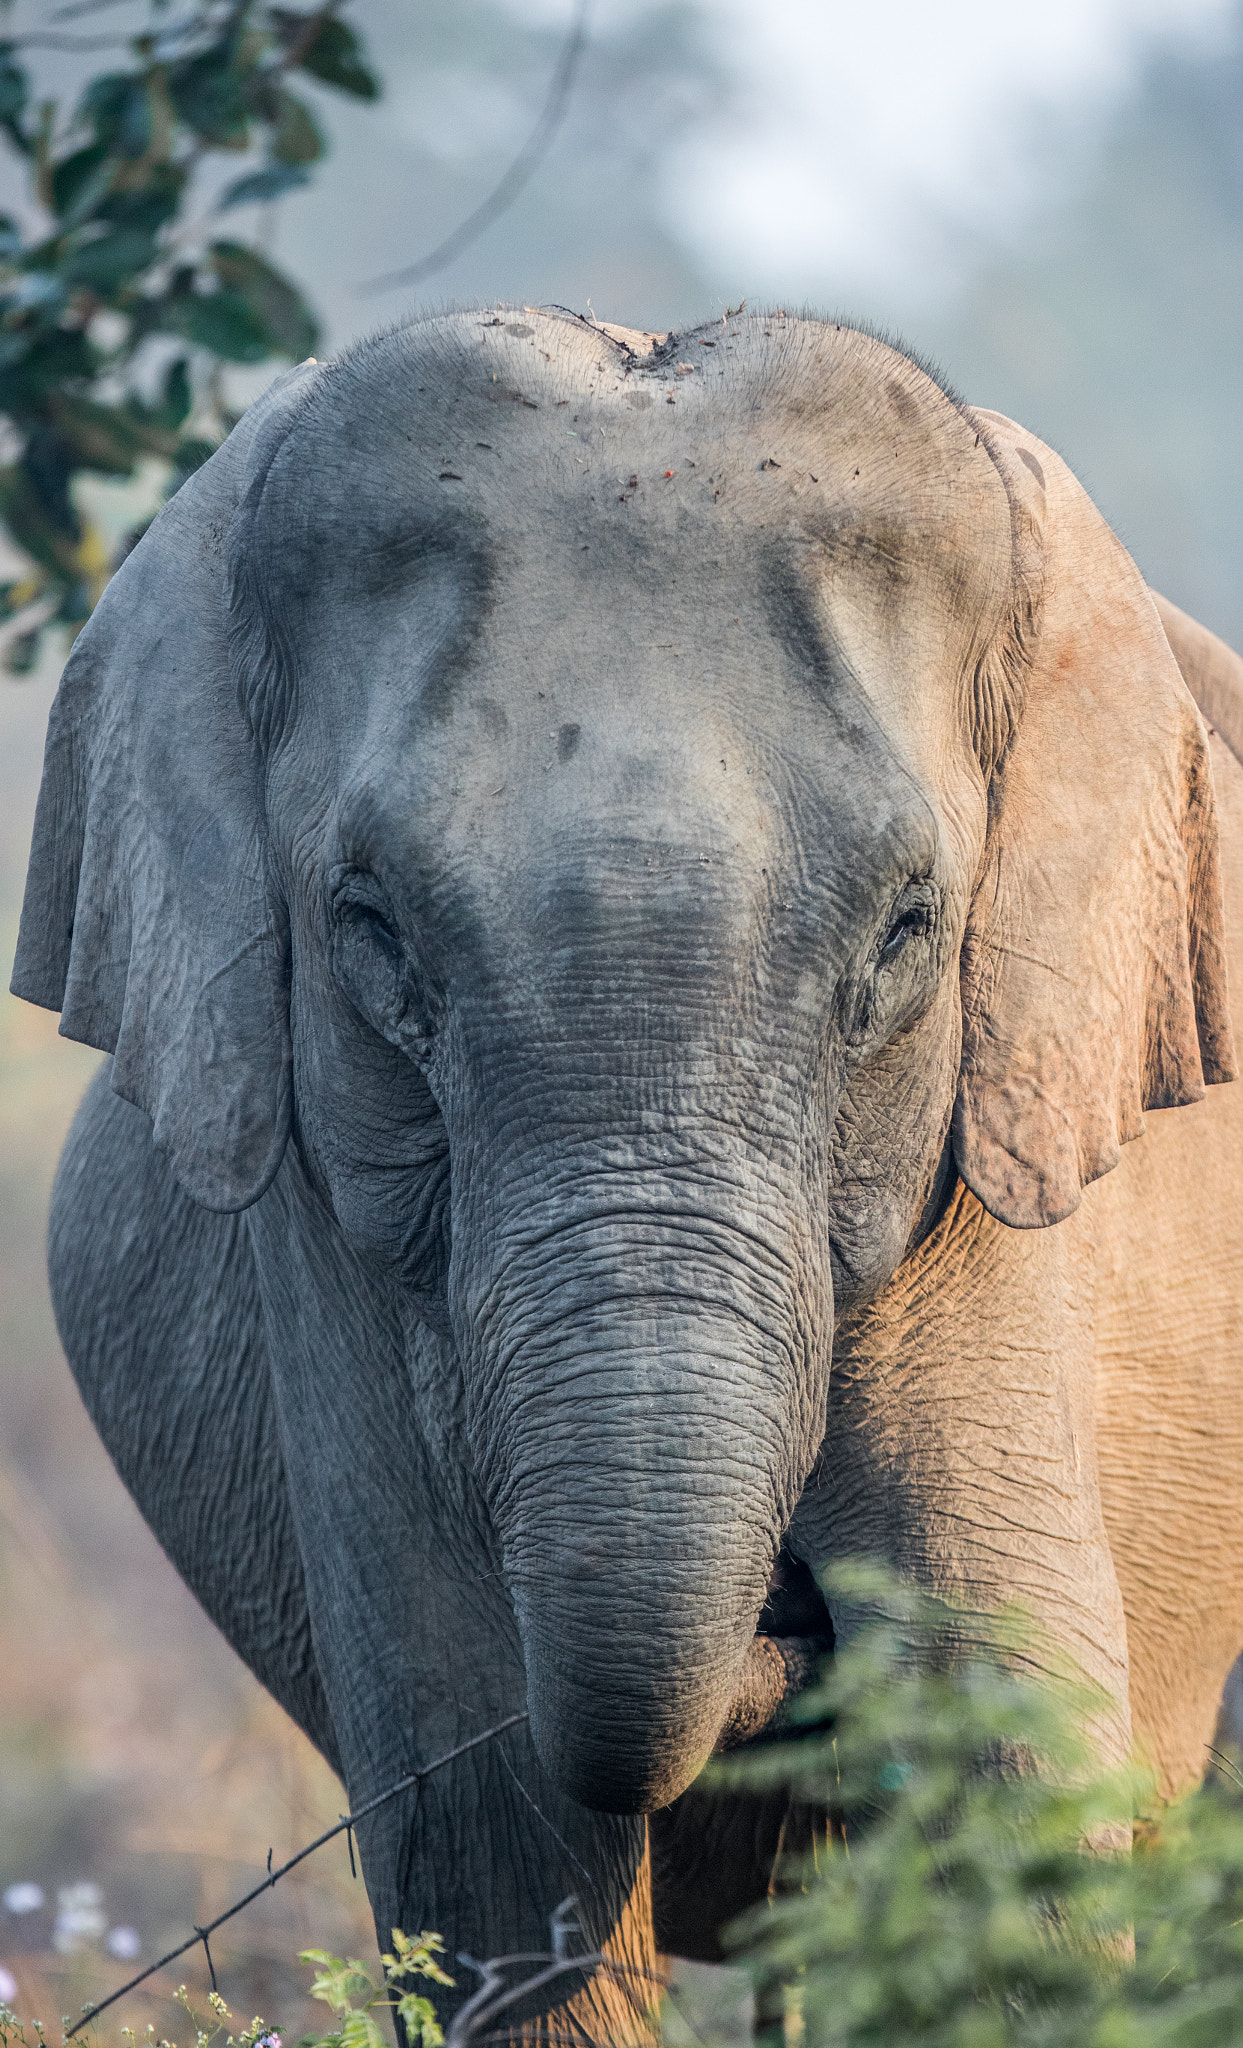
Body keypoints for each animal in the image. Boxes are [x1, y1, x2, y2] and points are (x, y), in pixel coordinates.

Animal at [14, 307, 1243, 2048]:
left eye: (906, 932)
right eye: (368, 928)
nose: (789, 1629)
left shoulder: (989, 1169)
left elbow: (994, 1735)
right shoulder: (326, 1218)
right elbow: (486, 1806)